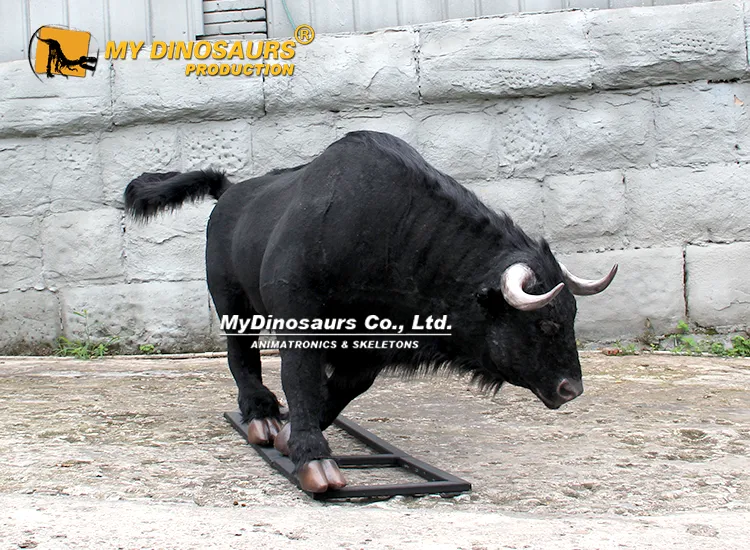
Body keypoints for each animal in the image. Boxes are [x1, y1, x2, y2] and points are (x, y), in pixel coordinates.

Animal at [124, 131, 617, 493]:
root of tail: (229, 193)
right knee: (241, 356)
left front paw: (292, 435)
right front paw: (313, 458)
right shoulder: (300, 321)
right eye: (545, 322)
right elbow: (300, 379)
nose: (571, 389)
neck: (384, 229)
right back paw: (260, 415)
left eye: (572, 316)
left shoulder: (372, 347)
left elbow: (341, 388)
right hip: (232, 303)